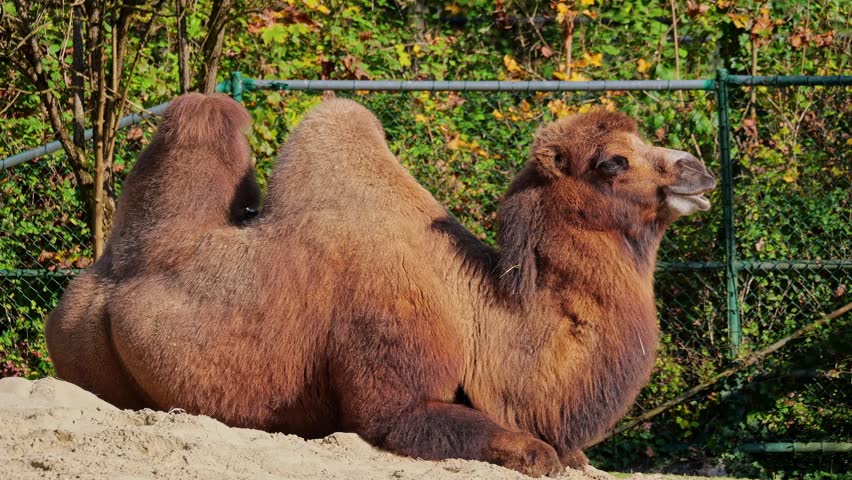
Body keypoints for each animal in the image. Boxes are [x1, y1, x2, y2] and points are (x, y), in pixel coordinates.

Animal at [47, 94, 715, 477]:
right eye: (613, 162)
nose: (697, 169)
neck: (479, 314)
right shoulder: (397, 386)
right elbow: (533, 451)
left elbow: (571, 454)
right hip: (80, 350)